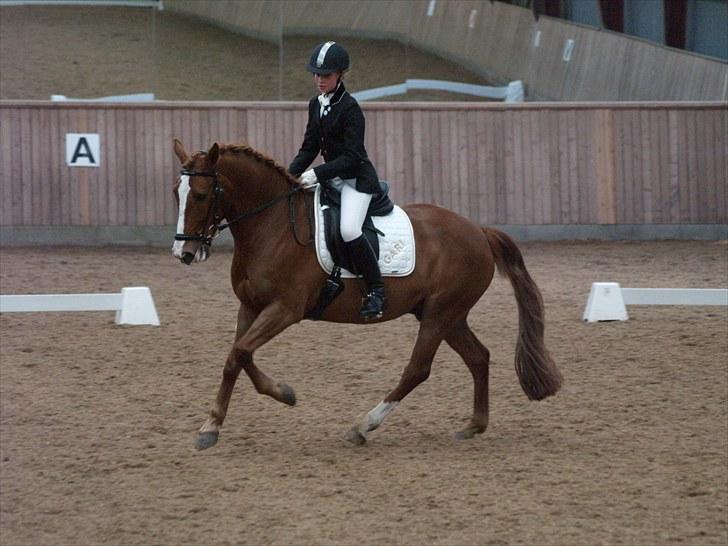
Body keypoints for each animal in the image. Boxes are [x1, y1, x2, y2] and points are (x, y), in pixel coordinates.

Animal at [171, 138, 564, 448]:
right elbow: (237, 356)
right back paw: (473, 426)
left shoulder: (285, 309)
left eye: (202, 195)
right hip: (446, 315)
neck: (273, 226)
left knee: (418, 369)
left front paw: (266, 401)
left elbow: (239, 352)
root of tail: (479, 231)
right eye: (177, 193)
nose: (183, 253)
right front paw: (221, 421)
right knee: (479, 357)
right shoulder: (251, 307)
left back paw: (363, 426)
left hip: (440, 313)